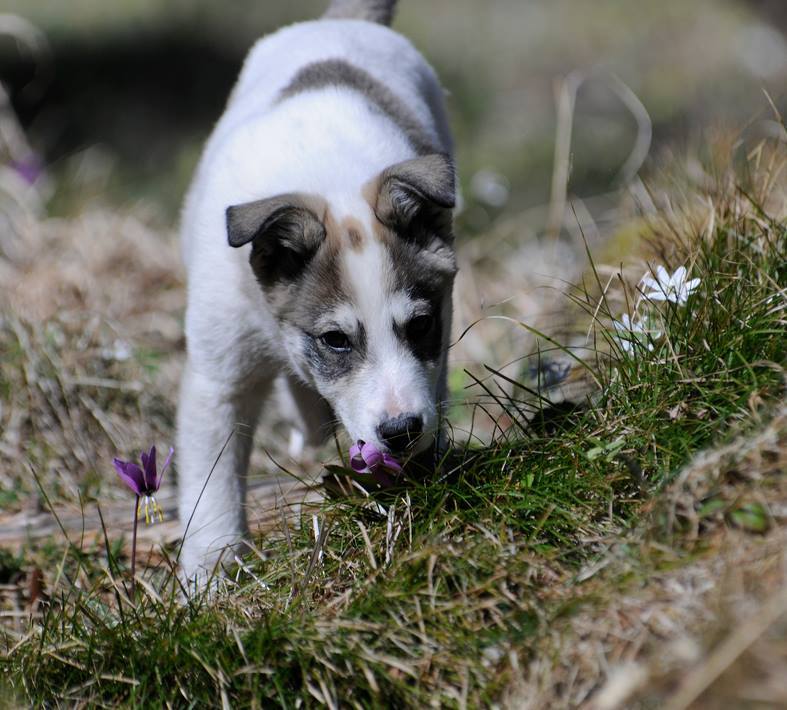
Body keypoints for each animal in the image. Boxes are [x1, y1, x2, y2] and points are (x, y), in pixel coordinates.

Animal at [177, 0, 456, 580]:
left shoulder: (439, 342)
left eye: (420, 324)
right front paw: (210, 579)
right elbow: (212, 490)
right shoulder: (218, 380)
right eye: (335, 340)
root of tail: (344, 20)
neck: (331, 185)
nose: (401, 432)